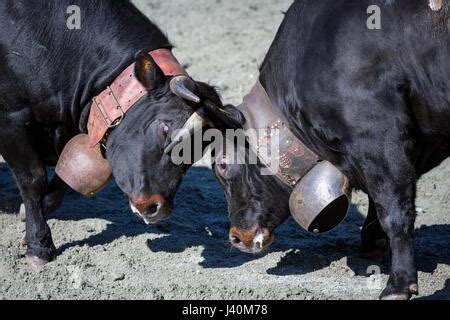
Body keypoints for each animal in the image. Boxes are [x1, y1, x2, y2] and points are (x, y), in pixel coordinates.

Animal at [0, 0, 222, 264]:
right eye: (165, 127)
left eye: (197, 150)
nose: (158, 208)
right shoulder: (11, 119)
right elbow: (33, 179)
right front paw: (39, 245)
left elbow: (65, 181)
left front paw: (28, 215)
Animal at [211, 0, 450, 300]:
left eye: (221, 165)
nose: (235, 236)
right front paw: (372, 243)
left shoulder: (378, 136)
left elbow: (394, 211)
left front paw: (398, 285)